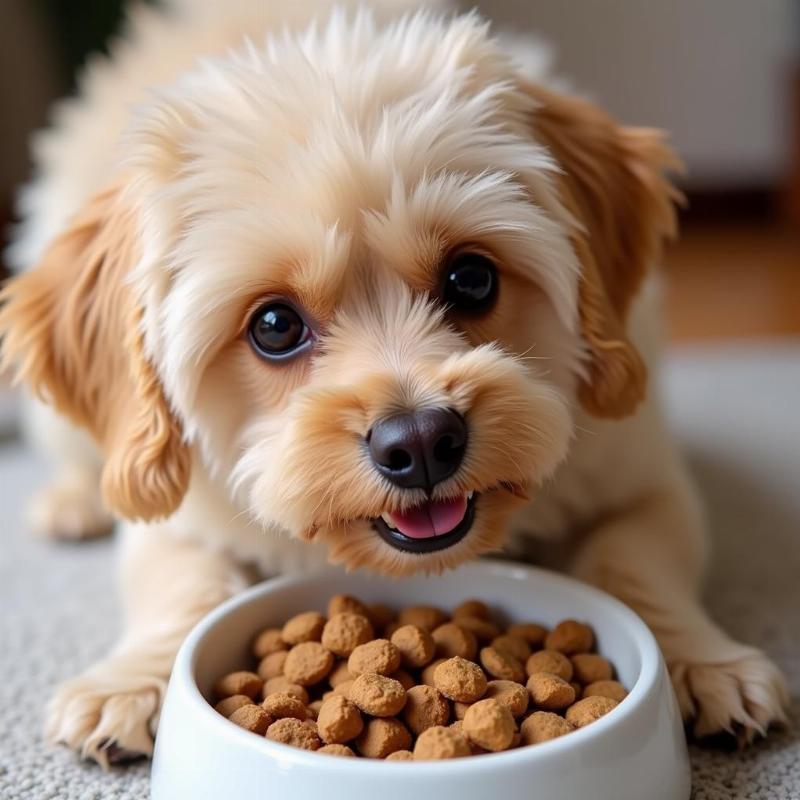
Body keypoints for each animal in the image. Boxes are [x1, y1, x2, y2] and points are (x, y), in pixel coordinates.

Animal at [0, 0, 788, 764]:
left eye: (472, 278)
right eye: (274, 325)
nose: (422, 441)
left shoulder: (643, 478)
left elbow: (635, 567)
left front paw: (704, 662)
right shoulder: (183, 517)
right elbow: (181, 587)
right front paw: (129, 683)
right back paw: (72, 501)